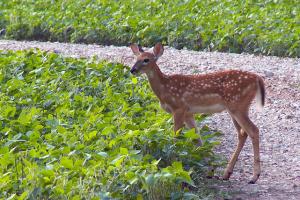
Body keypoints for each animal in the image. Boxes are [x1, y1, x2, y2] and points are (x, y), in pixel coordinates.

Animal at [129, 43, 264, 184]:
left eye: (146, 60)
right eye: (136, 58)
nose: (132, 70)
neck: (165, 89)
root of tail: (257, 78)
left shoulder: (178, 108)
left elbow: (175, 137)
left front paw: (173, 167)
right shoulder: (188, 113)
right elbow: (197, 139)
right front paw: (209, 171)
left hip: (238, 106)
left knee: (253, 130)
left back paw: (254, 177)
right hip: (235, 109)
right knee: (242, 133)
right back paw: (227, 174)